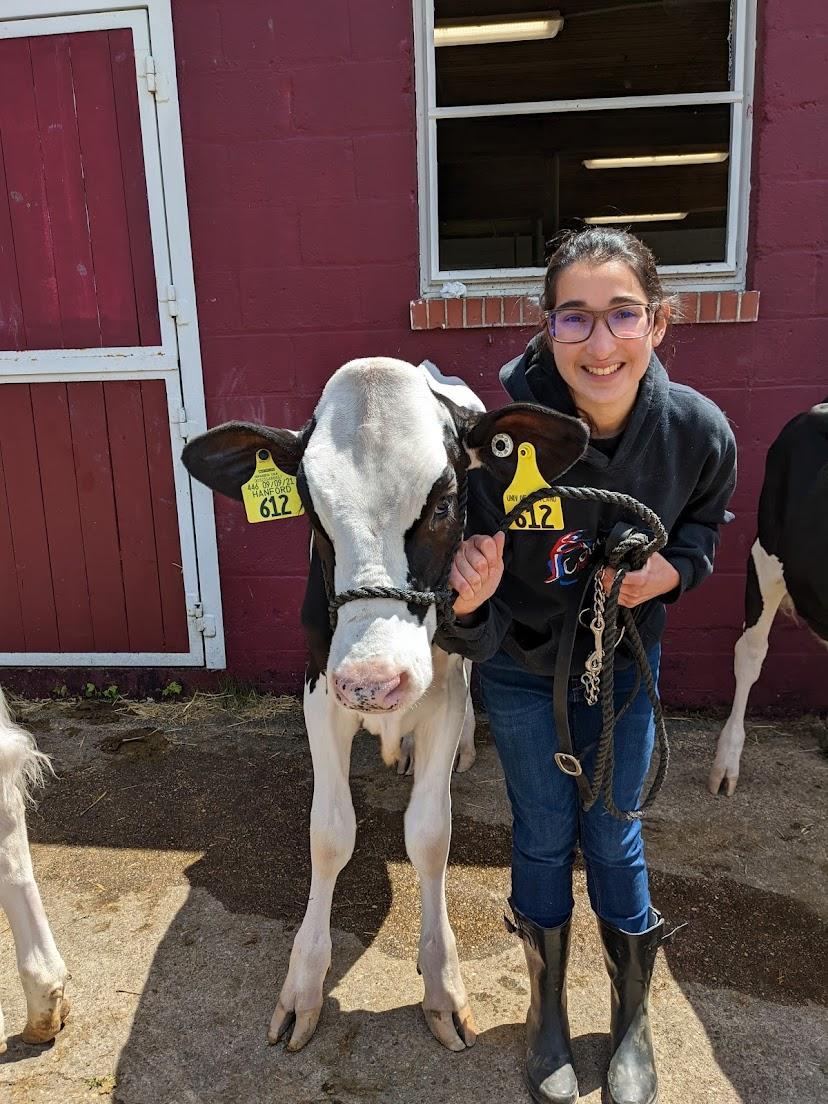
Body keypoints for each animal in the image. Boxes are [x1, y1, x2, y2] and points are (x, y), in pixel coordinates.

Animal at [186, 359, 591, 1051]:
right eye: (312, 513)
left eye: (444, 502)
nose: (374, 681)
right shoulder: (321, 687)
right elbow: (328, 835)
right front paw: (304, 986)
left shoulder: (442, 691)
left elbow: (429, 835)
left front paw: (442, 986)